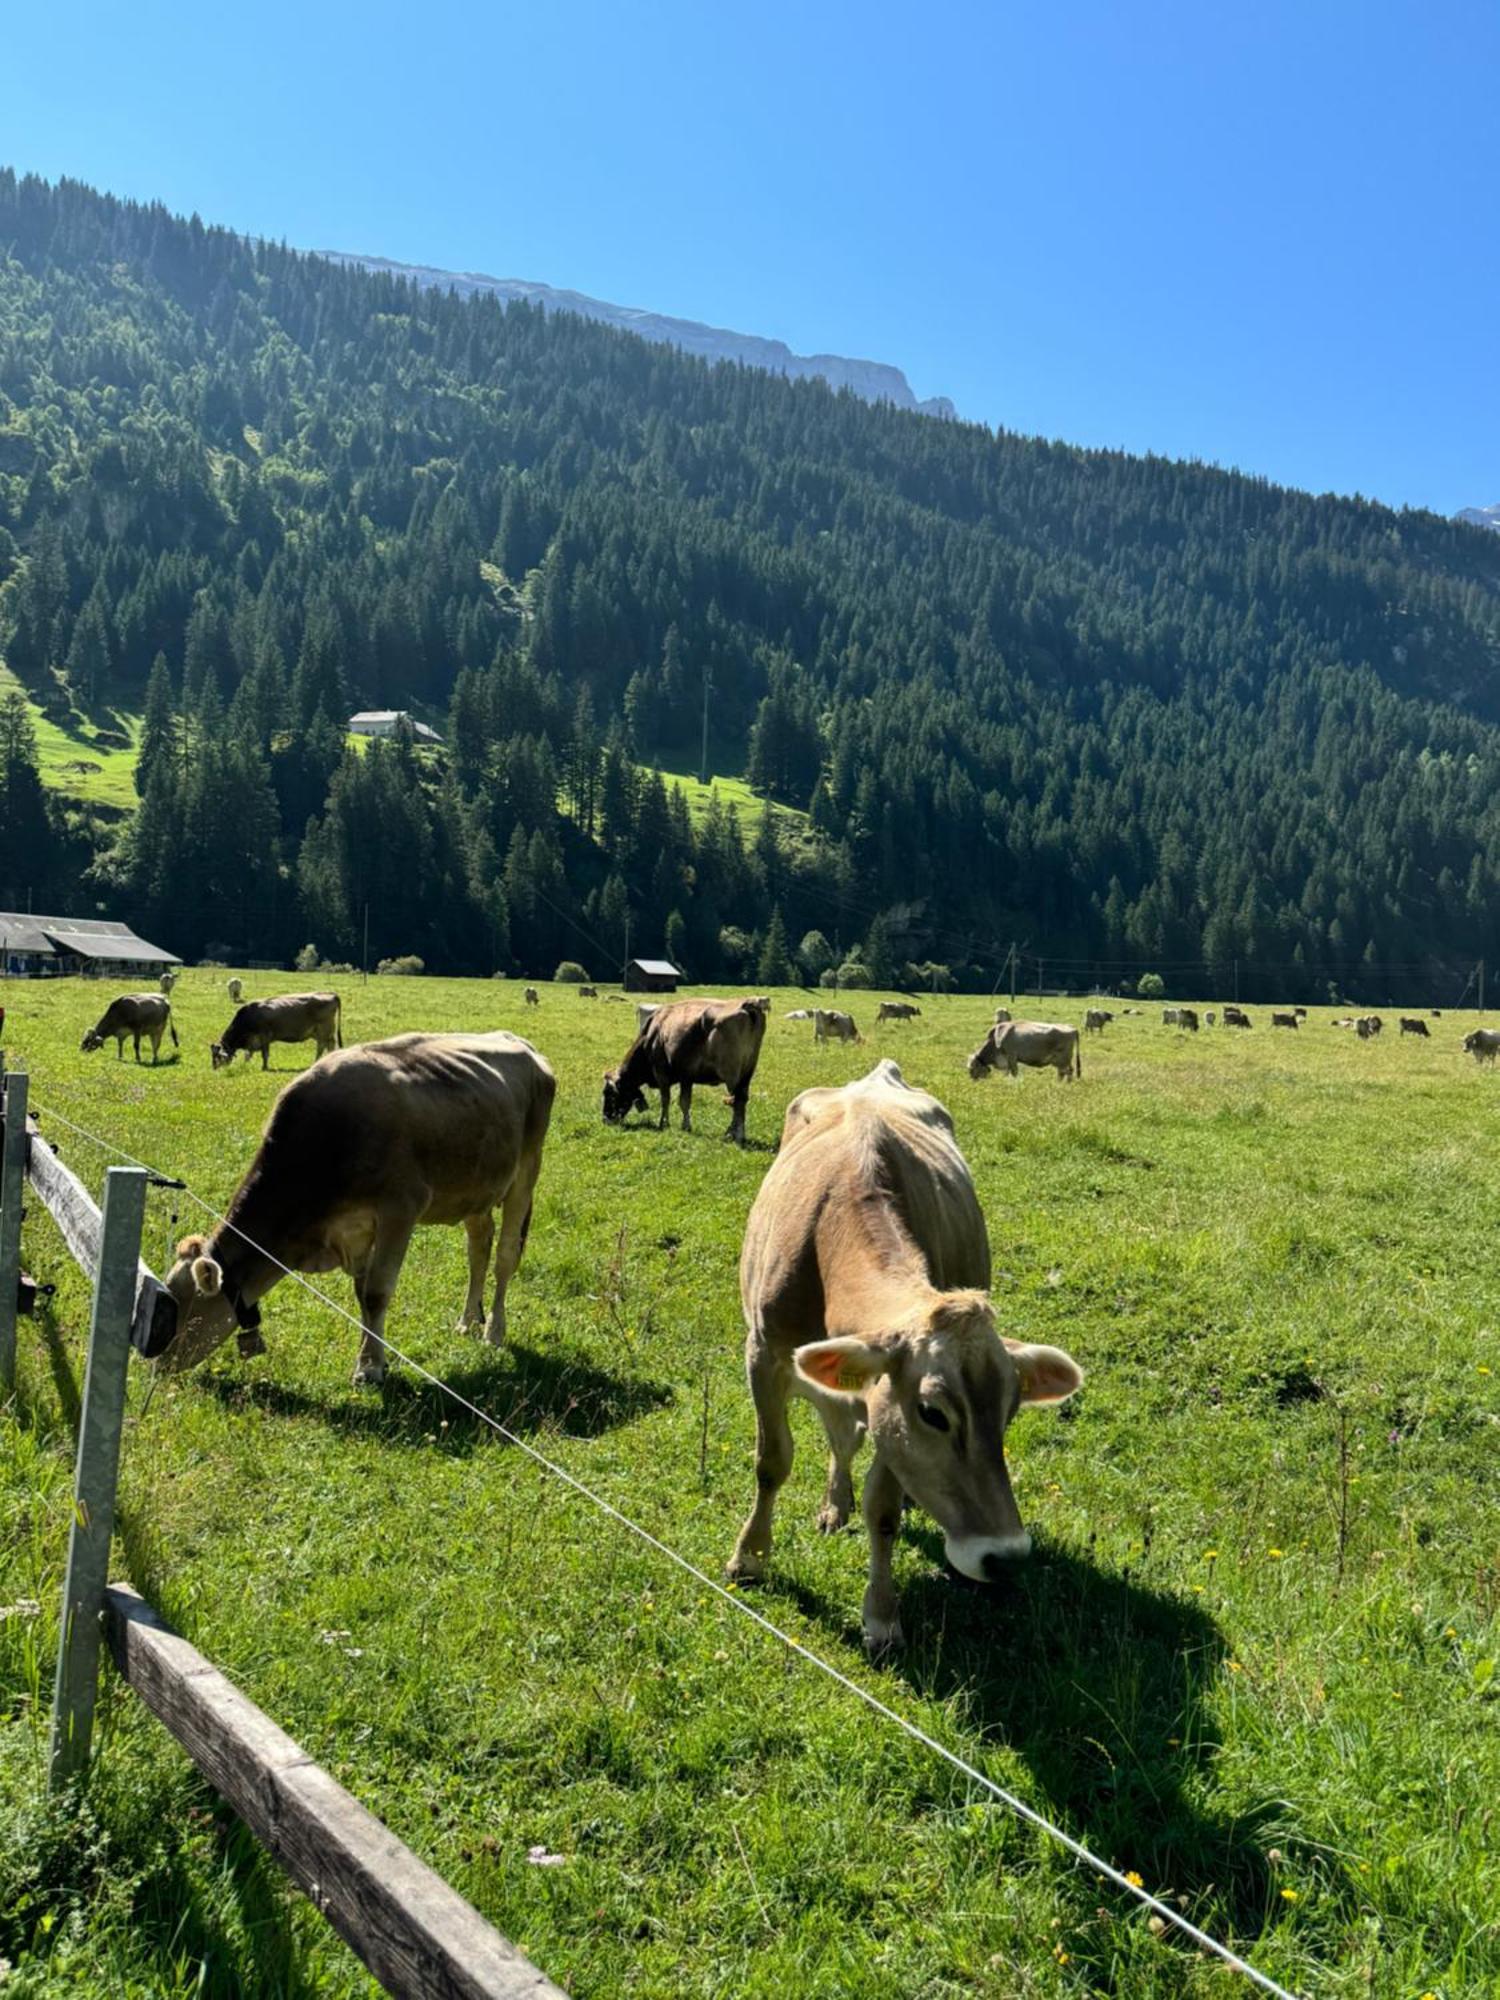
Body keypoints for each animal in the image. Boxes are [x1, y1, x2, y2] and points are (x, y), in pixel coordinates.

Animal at [162, 1032, 560, 1392]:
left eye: (179, 1308)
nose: (156, 1363)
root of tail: (521, 1043)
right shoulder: (352, 1231)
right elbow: (362, 1294)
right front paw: (373, 1358)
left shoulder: (400, 1209)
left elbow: (376, 1293)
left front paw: (368, 1369)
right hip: (476, 1188)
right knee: (478, 1249)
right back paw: (467, 1321)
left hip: (526, 1172)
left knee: (505, 1256)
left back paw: (493, 1331)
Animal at [213, 992, 342, 1072]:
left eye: (218, 1057)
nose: (214, 1069)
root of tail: (330, 994)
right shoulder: (254, 1042)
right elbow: (248, 1055)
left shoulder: (264, 1036)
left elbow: (264, 1054)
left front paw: (264, 1067)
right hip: (321, 1033)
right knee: (328, 1045)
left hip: (323, 1030)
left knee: (322, 1046)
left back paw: (317, 1063)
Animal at [604, 996, 768, 1144]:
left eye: (609, 1094)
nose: (605, 1119)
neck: (653, 1034)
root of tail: (747, 1004)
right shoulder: (687, 1077)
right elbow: (684, 1102)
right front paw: (685, 1126)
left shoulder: (661, 1073)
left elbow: (666, 1099)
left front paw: (664, 1123)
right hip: (747, 1074)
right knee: (741, 1100)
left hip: (732, 1075)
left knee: (737, 1101)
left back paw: (735, 1134)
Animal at [728, 1056, 1080, 1648]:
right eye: (933, 1412)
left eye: (1009, 1411)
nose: (1006, 1557)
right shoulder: (765, 1355)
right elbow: (772, 1460)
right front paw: (749, 1557)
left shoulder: (885, 1401)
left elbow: (884, 1509)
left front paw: (881, 1614)